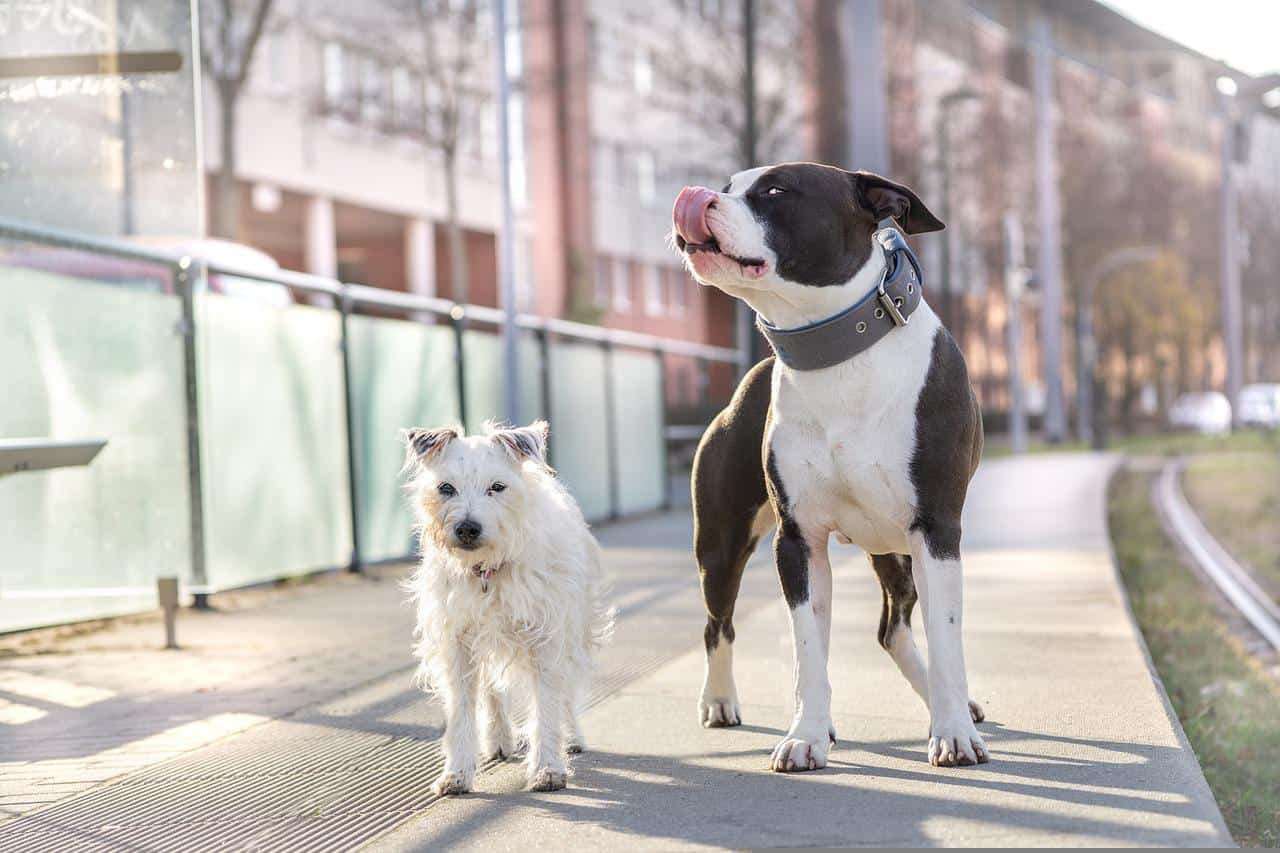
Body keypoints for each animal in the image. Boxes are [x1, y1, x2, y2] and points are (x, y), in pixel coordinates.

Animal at [404, 417, 614, 788]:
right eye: (446, 488)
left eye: (497, 487)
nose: (467, 528)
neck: (487, 569)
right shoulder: (457, 642)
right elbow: (462, 709)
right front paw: (457, 773)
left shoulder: (547, 638)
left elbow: (546, 704)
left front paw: (548, 768)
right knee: (493, 691)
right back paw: (499, 739)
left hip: (575, 631)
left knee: (566, 693)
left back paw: (573, 737)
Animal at [670, 159, 988, 768]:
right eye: (726, 188)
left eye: (774, 190)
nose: (696, 197)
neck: (837, 355)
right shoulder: (798, 542)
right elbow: (807, 650)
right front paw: (807, 734)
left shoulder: (936, 532)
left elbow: (948, 637)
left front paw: (954, 731)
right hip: (719, 548)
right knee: (717, 624)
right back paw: (719, 699)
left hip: (897, 549)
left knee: (896, 627)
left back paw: (949, 701)